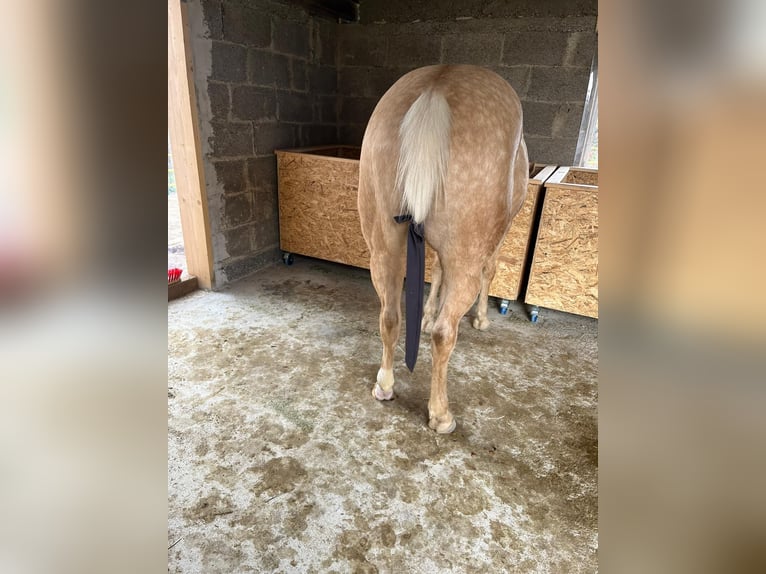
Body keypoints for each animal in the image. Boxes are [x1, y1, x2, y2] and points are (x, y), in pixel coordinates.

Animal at [358, 65, 528, 433]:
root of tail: (436, 86)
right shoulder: (498, 235)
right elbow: (489, 270)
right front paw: (481, 319)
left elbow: (435, 271)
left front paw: (425, 315)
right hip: (466, 257)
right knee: (444, 334)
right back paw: (441, 415)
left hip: (383, 250)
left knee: (389, 316)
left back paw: (385, 385)